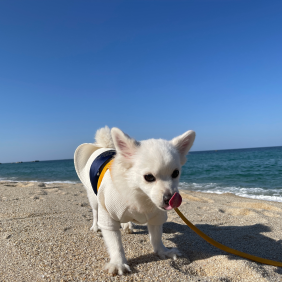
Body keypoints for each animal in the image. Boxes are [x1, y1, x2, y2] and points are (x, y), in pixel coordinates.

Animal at [74, 126, 195, 276]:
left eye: (176, 173)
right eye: (149, 177)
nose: (170, 198)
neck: (140, 195)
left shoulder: (156, 216)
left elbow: (156, 237)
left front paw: (163, 251)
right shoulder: (108, 216)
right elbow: (115, 243)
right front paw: (118, 263)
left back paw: (127, 225)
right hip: (94, 198)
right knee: (95, 212)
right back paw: (96, 226)